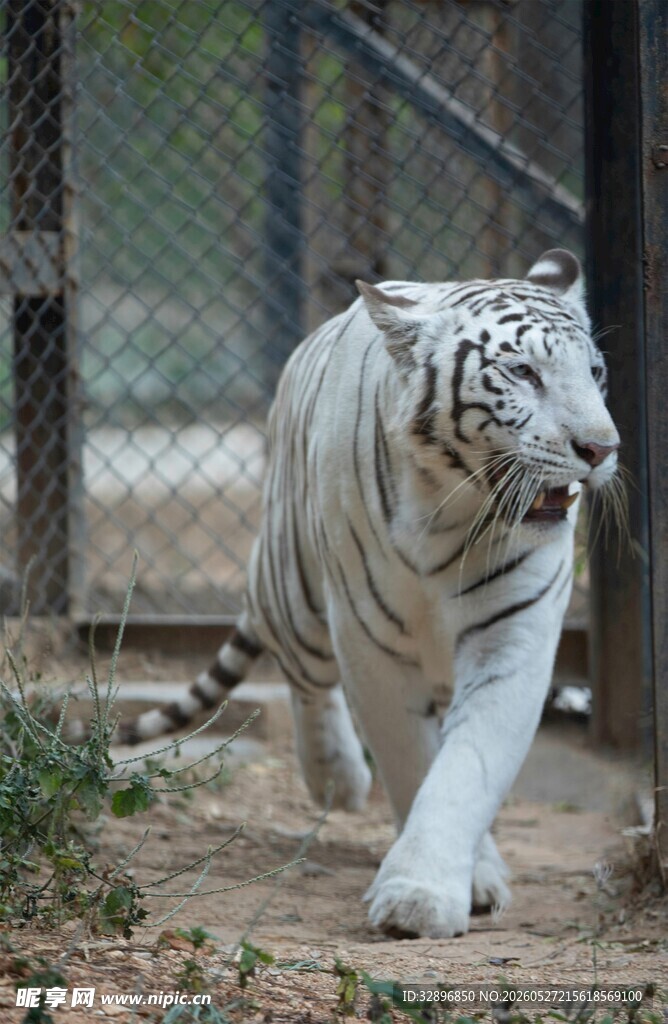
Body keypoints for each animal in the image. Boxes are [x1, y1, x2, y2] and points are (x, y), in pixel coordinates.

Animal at [119, 249, 621, 939]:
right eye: (523, 371)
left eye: (594, 372)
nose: (601, 449)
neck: (454, 512)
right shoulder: (369, 639)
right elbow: (410, 760)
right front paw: (422, 896)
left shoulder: (512, 636)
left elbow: (467, 765)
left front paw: (428, 890)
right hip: (294, 589)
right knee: (303, 675)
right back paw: (336, 773)